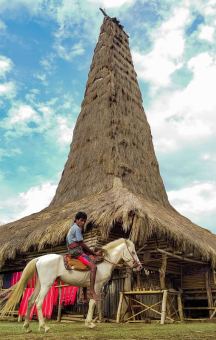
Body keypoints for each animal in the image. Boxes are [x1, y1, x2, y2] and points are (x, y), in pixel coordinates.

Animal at [0, 238, 143, 330]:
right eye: (133, 252)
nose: (140, 267)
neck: (104, 262)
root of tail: (39, 258)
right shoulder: (96, 285)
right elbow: (93, 303)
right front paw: (90, 323)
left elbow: (90, 303)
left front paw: (89, 322)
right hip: (47, 284)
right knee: (38, 302)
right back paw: (44, 326)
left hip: (40, 284)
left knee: (30, 301)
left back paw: (27, 326)